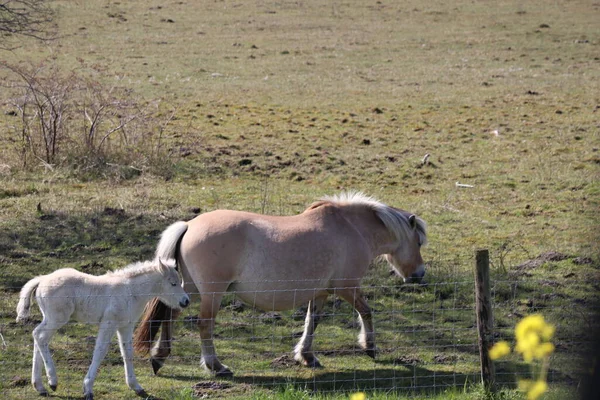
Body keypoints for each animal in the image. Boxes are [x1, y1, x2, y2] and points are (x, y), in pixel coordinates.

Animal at [136, 192, 426, 376]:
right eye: (419, 242)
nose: (419, 275)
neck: (351, 229)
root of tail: (189, 225)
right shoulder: (347, 287)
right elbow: (366, 311)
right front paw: (370, 347)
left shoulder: (320, 292)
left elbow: (312, 322)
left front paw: (306, 356)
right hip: (212, 293)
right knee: (204, 324)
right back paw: (216, 366)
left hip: (188, 290)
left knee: (170, 315)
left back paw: (159, 357)